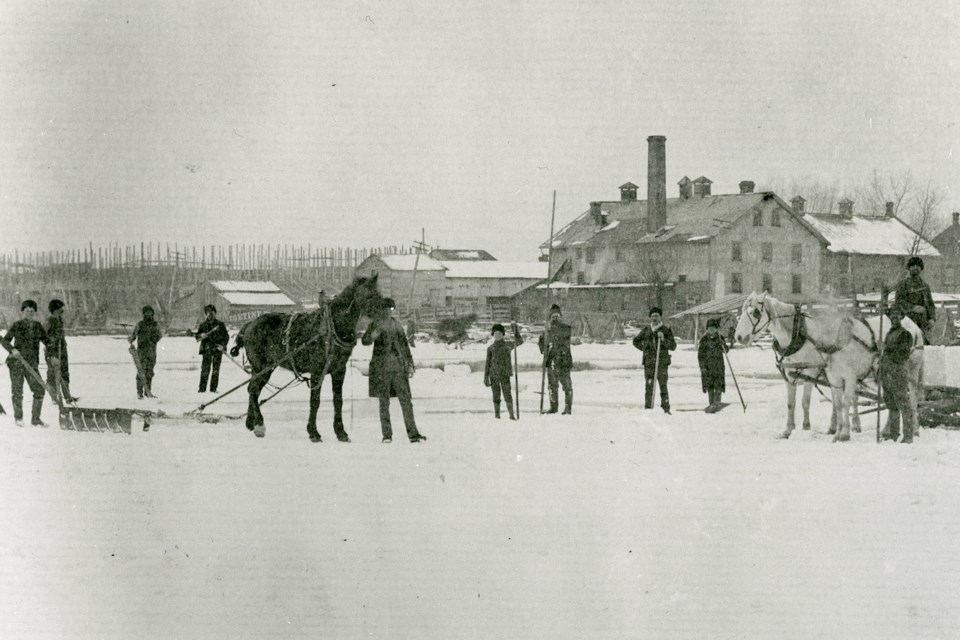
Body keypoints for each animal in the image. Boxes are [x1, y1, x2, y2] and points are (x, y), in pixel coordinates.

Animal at [229, 272, 382, 442]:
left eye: (379, 294)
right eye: (368, 295)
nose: (381, 319)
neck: (332, 328)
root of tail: (250, 324)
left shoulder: (339, 370)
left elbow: (338, 401)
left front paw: (341, 432)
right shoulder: (317, 371)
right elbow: (315, 401)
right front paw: (313, 432)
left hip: (260, 368)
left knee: (252, 389)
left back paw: (251, 422)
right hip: (263, 367)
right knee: (254, 390)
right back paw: (260, 425)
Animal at [736, 292, 924, 442]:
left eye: (755, 313)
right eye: (742, 312)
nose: (738, 337)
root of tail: (913, 325)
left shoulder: (813, 372)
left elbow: (809, 401)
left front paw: (810, 427)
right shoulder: (793, 374)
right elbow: (794, 403)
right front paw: (787, 431)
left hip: (909, 370)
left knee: (911, 397)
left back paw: (912, 429)